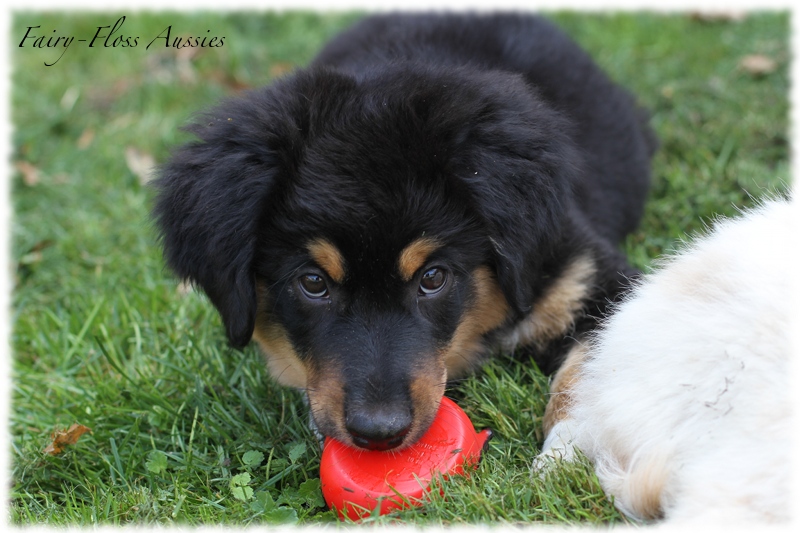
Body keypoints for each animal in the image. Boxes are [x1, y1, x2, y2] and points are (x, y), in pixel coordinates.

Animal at [152, 13, 656, 448]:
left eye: (433, 277)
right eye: (312, 283)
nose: (379, 434)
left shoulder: (585, 272)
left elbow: (589, 368)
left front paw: (563, 456)